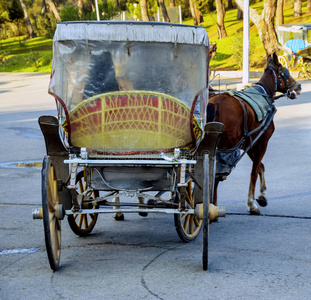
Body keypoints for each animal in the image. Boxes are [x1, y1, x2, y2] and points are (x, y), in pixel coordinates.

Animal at [207, 52, 302, 214]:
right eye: (285, 72)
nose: (299, 85)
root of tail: (216, 103)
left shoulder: (249, 144)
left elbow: (260, 167)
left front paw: (262, 195)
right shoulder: (262, 142)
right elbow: (254, 172)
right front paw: (252, 203)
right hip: (226, 146)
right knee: (217, 174)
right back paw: (212, 206)